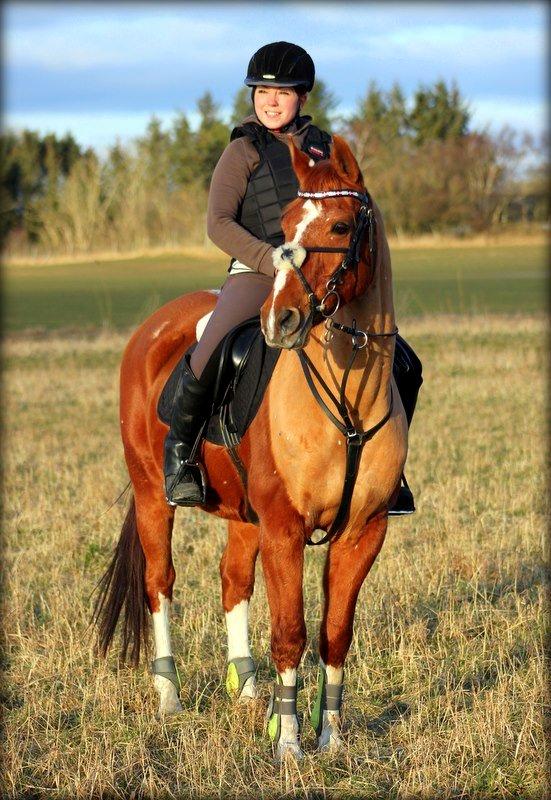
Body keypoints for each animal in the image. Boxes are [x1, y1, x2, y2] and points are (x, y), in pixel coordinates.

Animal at [92, 134, 408, 760]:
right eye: (284, 225)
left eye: (340, 226)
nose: (279, 320)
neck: (349, 400)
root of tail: (153, 327)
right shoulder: (284, 528)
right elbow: (290, 633)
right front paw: (288, 744)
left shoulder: (364, 531)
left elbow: (335, 634)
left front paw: (331, 738)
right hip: (152, 495)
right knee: (160, 582)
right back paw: (171, 698)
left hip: (242, 515)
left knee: (232, 579)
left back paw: (246, 690)